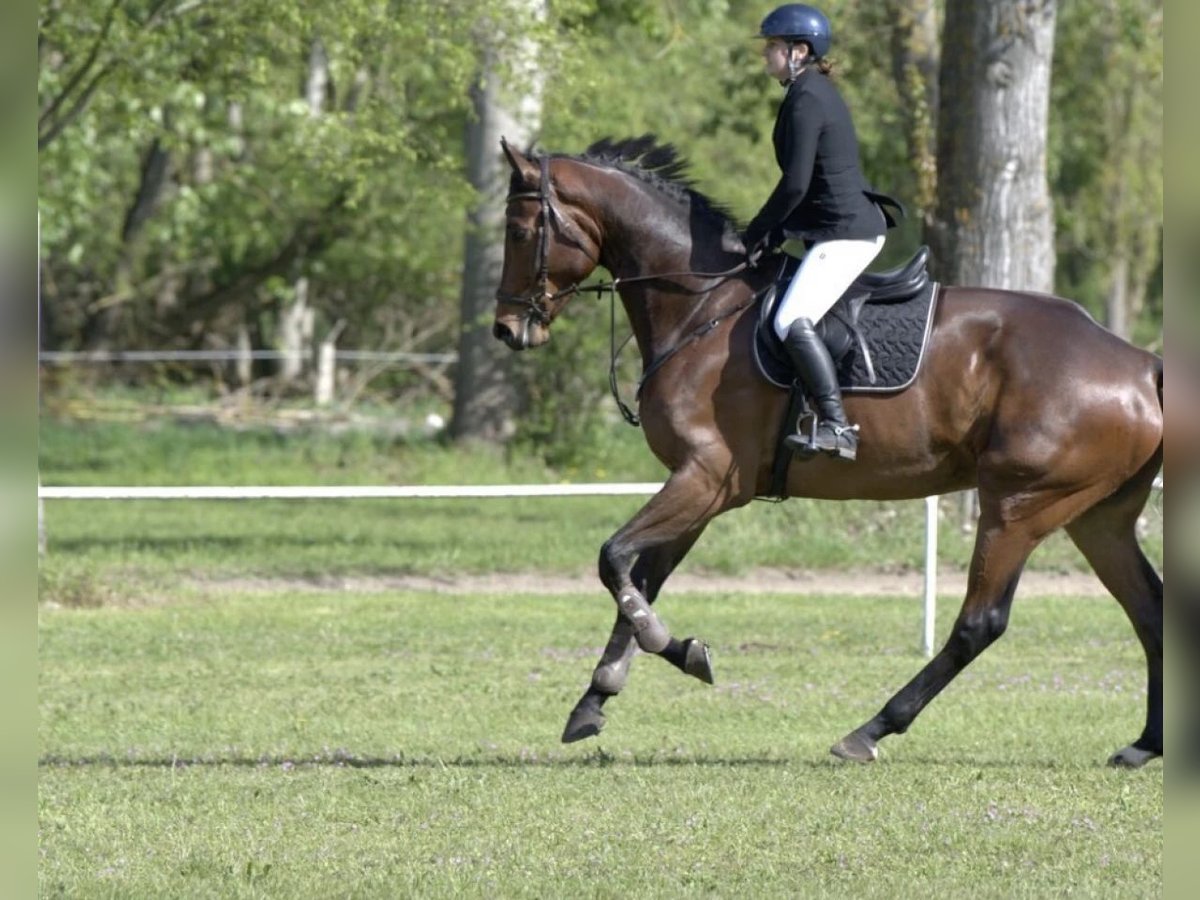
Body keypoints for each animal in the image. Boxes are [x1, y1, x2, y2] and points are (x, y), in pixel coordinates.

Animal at [487, 133, 1161, 768]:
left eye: (519, 232)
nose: (507, 330)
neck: (701, 306)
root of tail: (1139, 362)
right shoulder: (701, 489)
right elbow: (640, 576)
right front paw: (596, 698)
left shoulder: (706, 476)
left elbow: (613, 560)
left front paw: (677, 651)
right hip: (1095, 516)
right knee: (1149, 608)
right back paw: (1143, 745)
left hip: (1019, 507)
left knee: (980, 624)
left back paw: (870, 730)